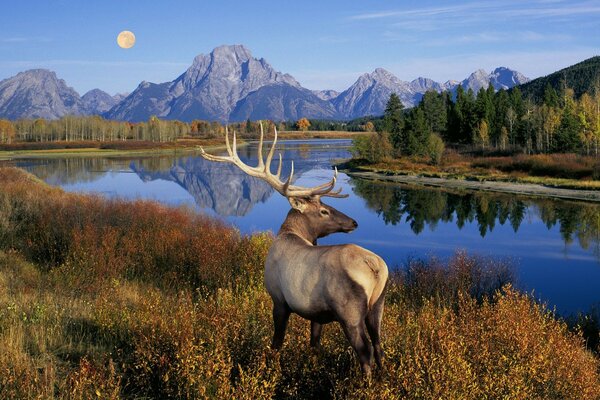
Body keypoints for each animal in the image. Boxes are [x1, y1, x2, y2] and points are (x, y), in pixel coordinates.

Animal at [200, 124, 390, 376]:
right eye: (324, 211)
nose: (354, 222)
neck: (289, 233)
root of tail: (376, 268)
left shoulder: (279, 299)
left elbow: (277, 342)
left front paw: (271, 367)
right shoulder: (317, 313)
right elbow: (314, 343)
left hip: (349, 312)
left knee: (365, 350)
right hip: (377, 305)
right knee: (378, 345)